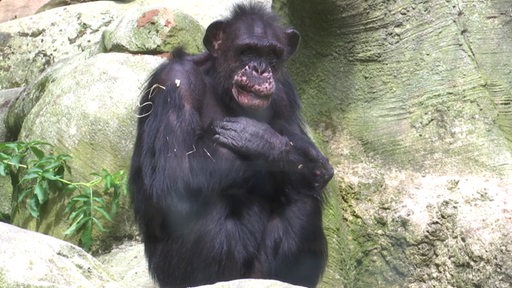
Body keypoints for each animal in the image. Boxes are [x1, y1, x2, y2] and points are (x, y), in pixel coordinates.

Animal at [130, 2, 334, 288]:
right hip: (173, 275)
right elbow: (175, 170)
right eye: (246, 51)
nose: (259, 69)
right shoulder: (174, 82)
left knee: (303, 198)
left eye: (272, 54)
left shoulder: (284, 92)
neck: (220, 85)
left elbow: (310, 158)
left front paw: (262, 141)